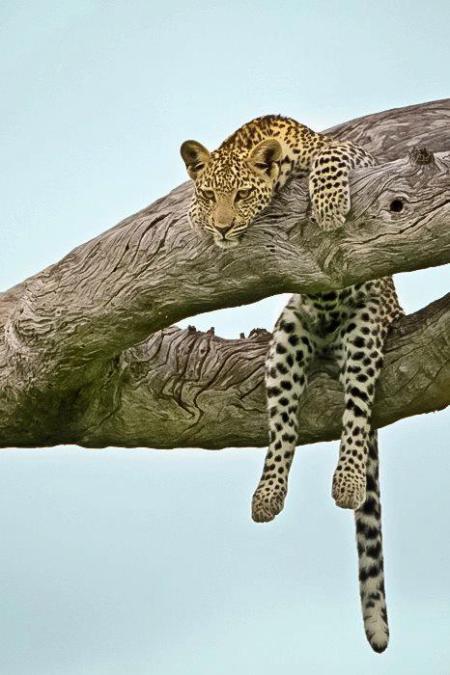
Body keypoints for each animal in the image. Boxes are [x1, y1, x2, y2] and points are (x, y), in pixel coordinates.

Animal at [180, 115, 403, 653]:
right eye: (210, 195)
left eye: (242, 195)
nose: (222, 227)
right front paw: (197, 220)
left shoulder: (354, 154)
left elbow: (332, 158)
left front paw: (329, 207)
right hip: (289, 334)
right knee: (283, 427)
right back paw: (267, 495)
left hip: (367, 325)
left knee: (356, 410)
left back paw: (347, 481)